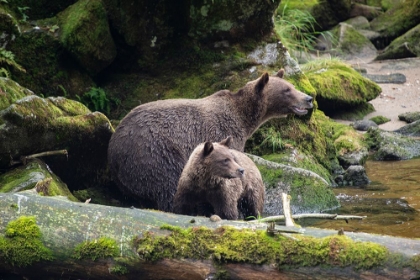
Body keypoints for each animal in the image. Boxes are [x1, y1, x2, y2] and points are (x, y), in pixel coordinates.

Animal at [108, 69, 312, 211]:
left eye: (292, 86)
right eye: (287, 90)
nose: (309, 98)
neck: (244, 118)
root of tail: (113, 149)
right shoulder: (224, 132)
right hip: (155, 152)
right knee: (168, 184)